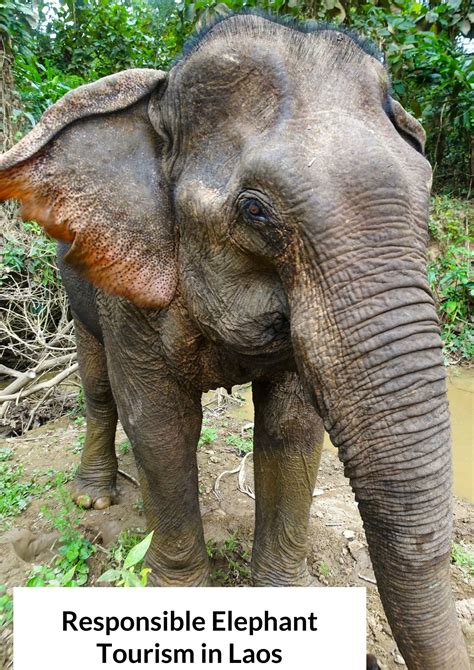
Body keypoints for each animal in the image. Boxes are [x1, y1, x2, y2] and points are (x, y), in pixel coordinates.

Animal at [0, 12, 469, 669]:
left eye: (426, 192)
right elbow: (160, 423)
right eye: (255, 211)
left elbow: (292, 429)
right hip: (78, 280)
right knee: (97, 384)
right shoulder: (130, 287)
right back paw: (94, 499)